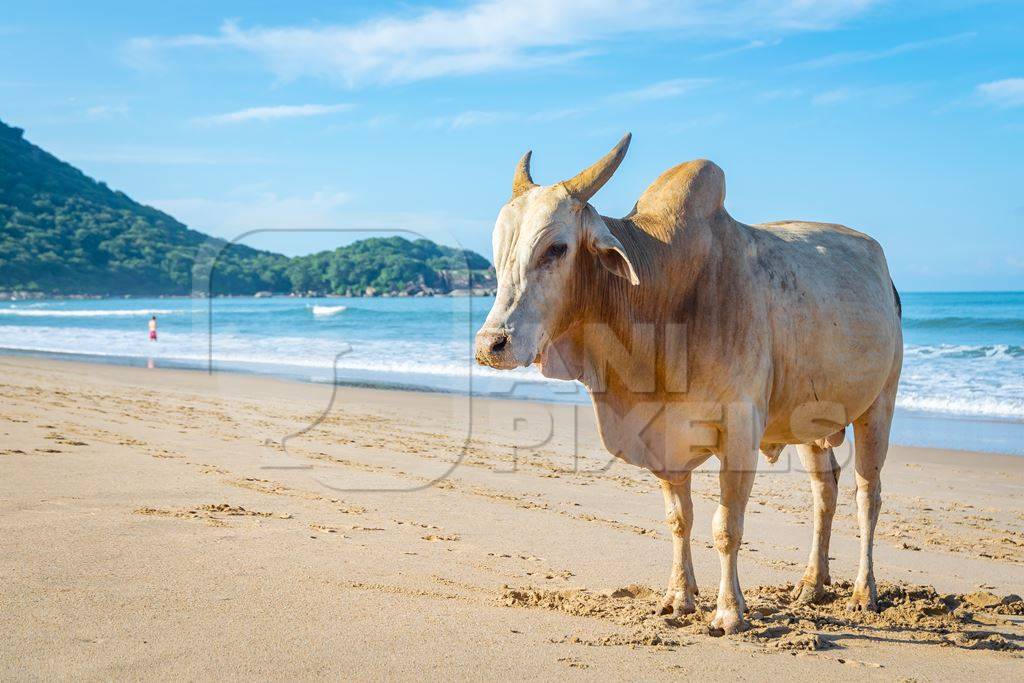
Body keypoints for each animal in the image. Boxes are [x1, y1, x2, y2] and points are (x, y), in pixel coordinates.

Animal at [475, 135, 901, 634]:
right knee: (825, 491)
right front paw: (679, 599)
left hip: (879, 405)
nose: (491, 344)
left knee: (867, 494)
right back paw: (812, 585)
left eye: (556, 248)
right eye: (498, 250)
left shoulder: (739, 432)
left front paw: (730, 612)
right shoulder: (662, 437)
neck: (662, 300)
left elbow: (726, 526)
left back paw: (863, 592)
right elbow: (680, 520)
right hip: (812, 422)